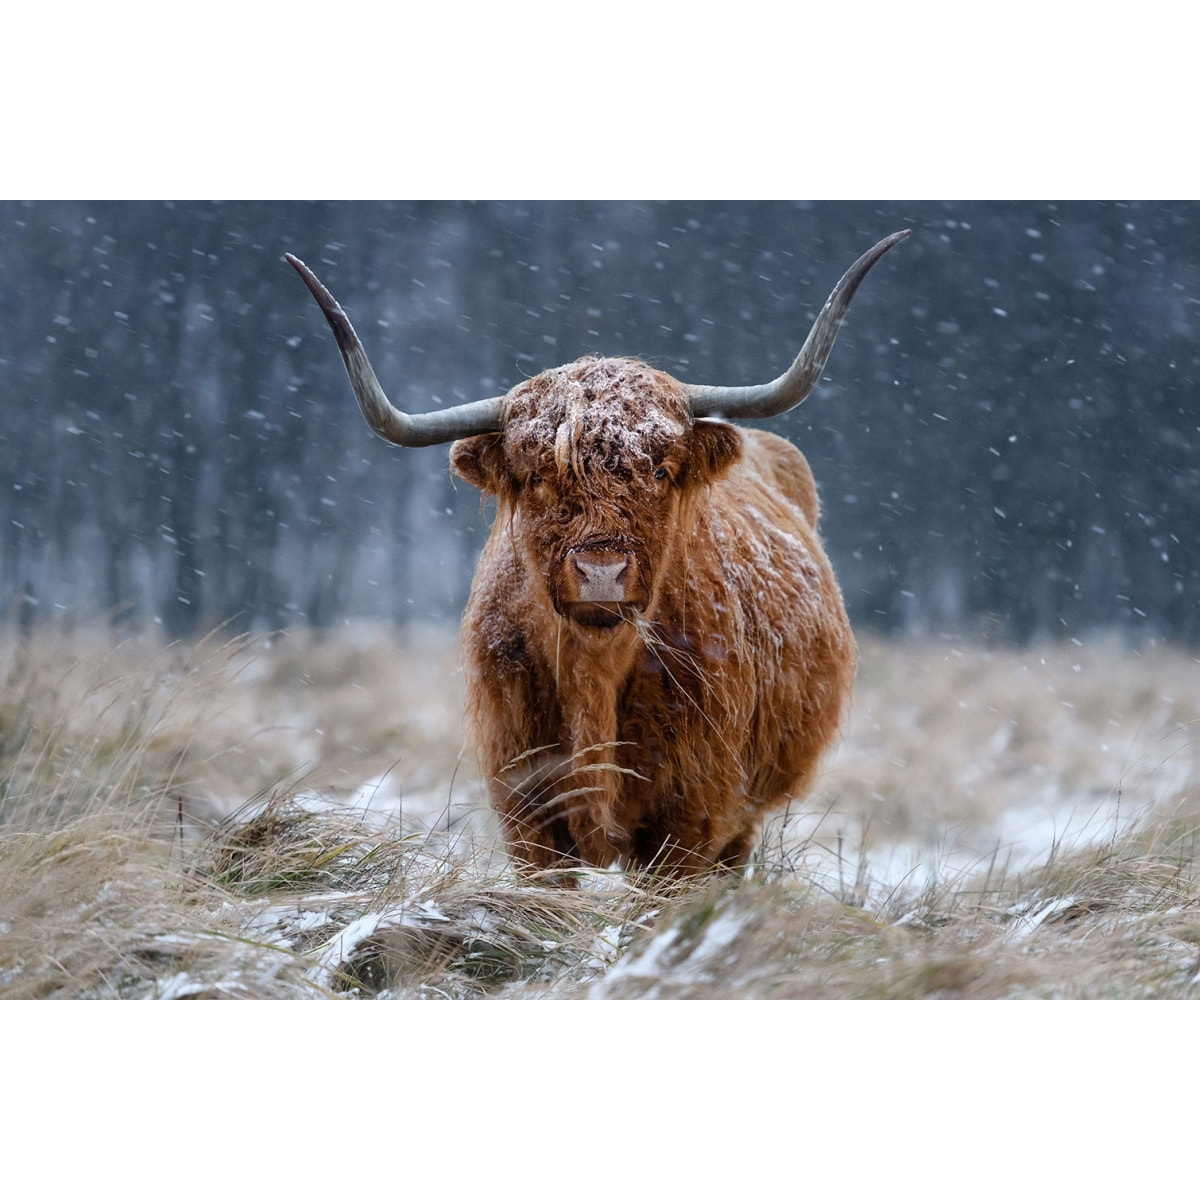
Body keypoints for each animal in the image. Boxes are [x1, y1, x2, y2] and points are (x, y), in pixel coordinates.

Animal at [286, 230, 908, 876]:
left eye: (659, 470)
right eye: (537, 476)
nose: (601, 572)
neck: (595, 673)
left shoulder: (692, 816)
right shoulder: (526, 810)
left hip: (742, 818)